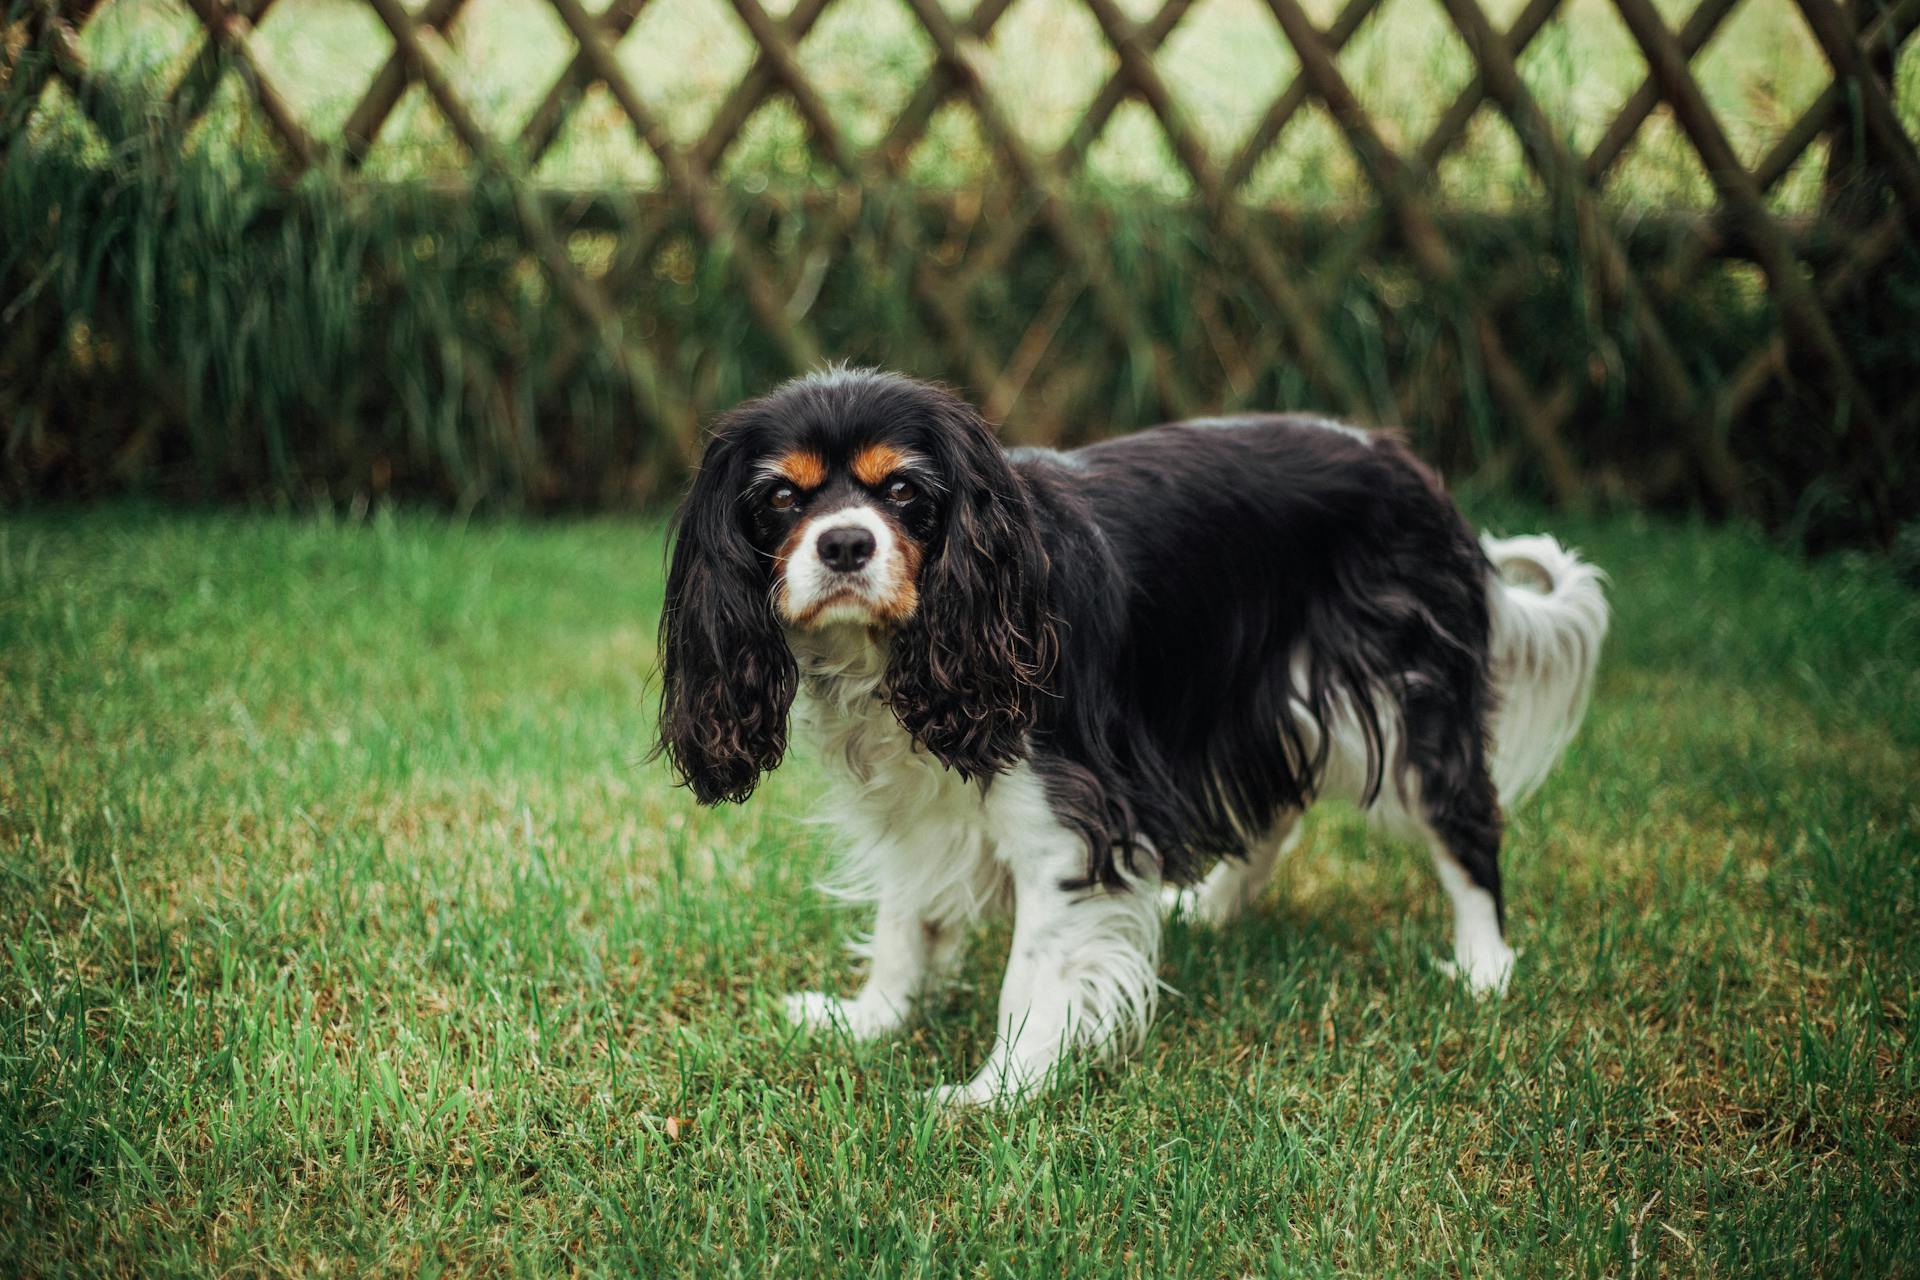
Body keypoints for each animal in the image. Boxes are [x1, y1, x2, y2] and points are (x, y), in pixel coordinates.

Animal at [652, 368, 1612, 1105]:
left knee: (1464, 824)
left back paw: (1484, 967)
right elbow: (904, 920)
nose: (846, 544)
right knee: (1277, 807)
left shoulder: (1067, 820)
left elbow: (1029, 977)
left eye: (903, 493)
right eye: (781, 498)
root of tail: (1408, 465)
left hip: (1406, 698)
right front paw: (871, 1019)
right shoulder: (921, 805)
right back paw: (1215, 907)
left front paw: (994, 1093)